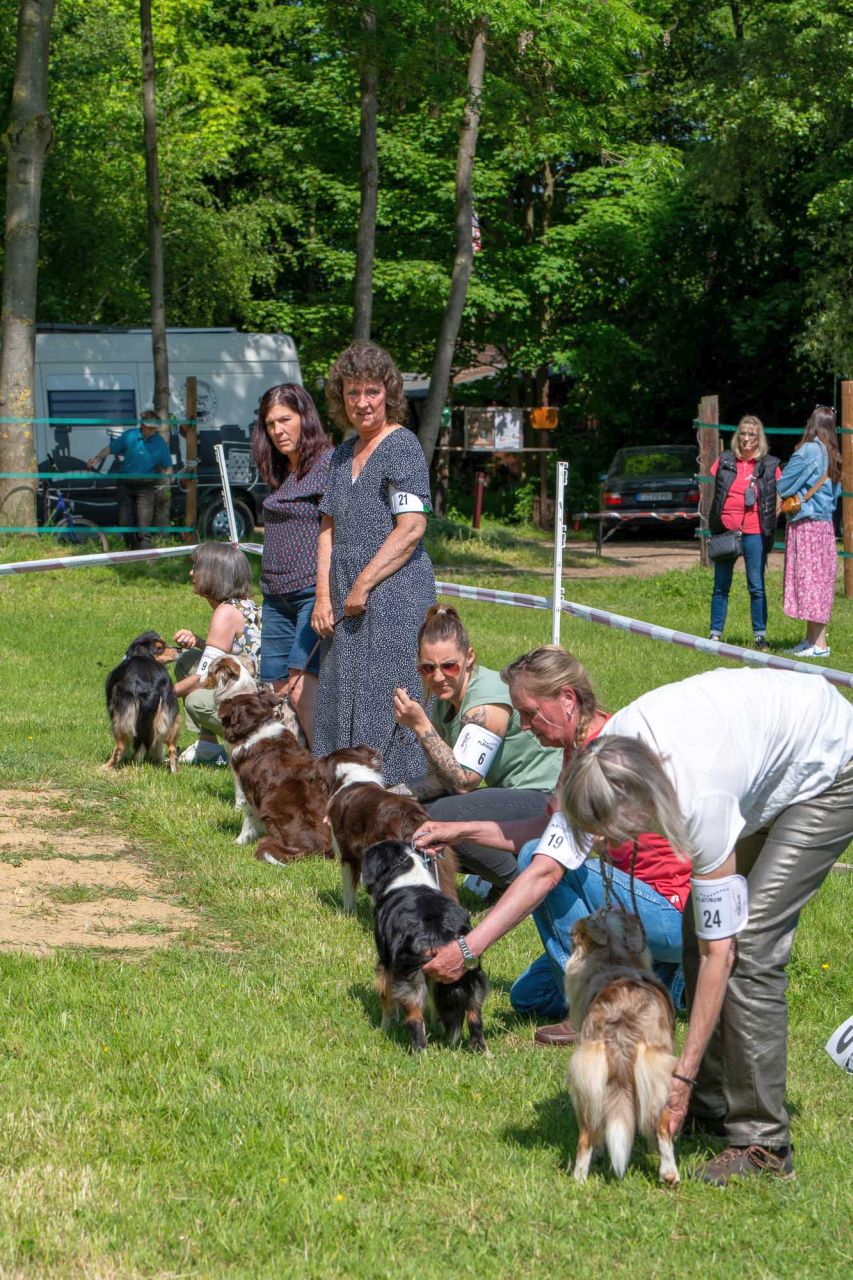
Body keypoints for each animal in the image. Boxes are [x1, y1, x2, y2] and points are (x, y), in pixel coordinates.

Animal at [563, 906, 676, 1182]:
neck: (614, 959)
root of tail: (621, 1020)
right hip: (659, 1076)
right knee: (661, 1124)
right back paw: (669, 1174)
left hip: (588, 1078)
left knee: (587, 1135)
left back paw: (579, 1180)